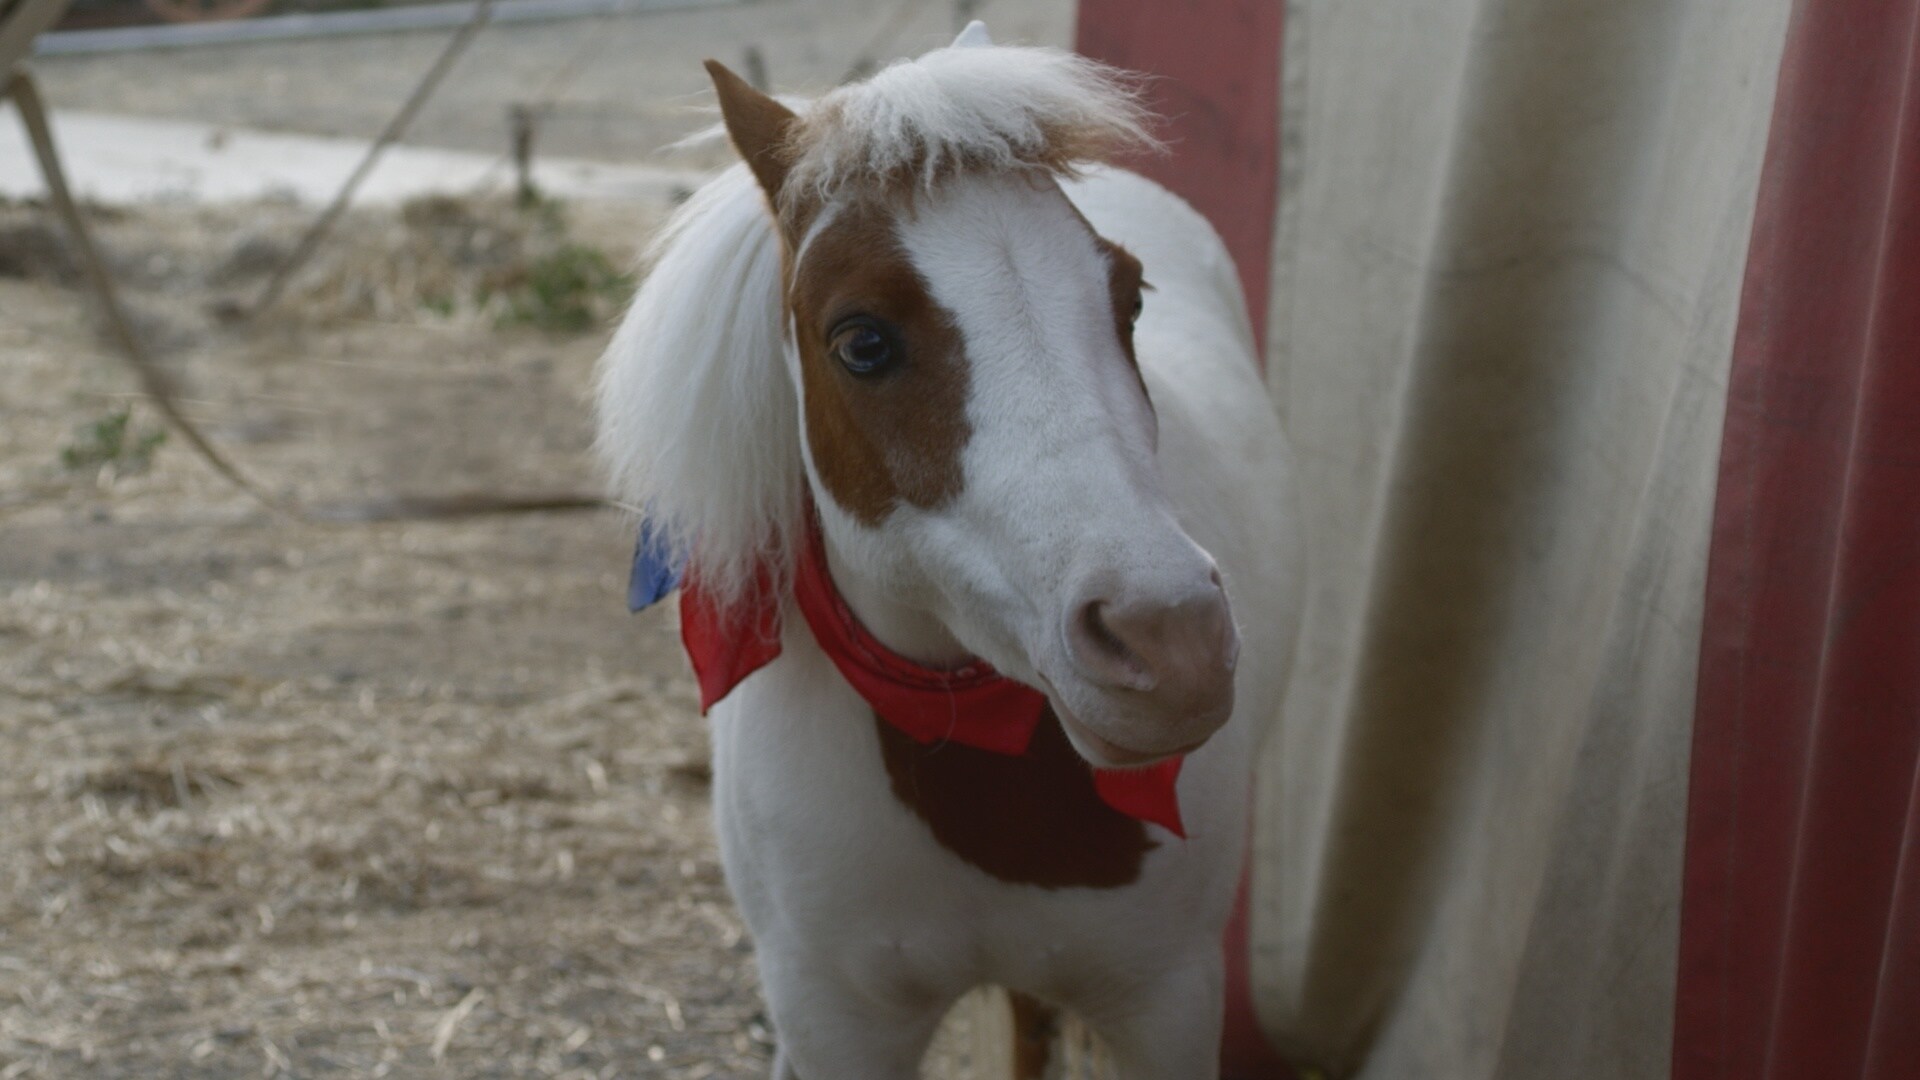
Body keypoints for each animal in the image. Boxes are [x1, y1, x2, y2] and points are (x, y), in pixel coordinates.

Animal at [596, 22, 1301, 1079]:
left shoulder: (1166, 1004)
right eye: (863, 342)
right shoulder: (835, 1024)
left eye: (1130, 299)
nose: (1171, 642)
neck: (974, 753)